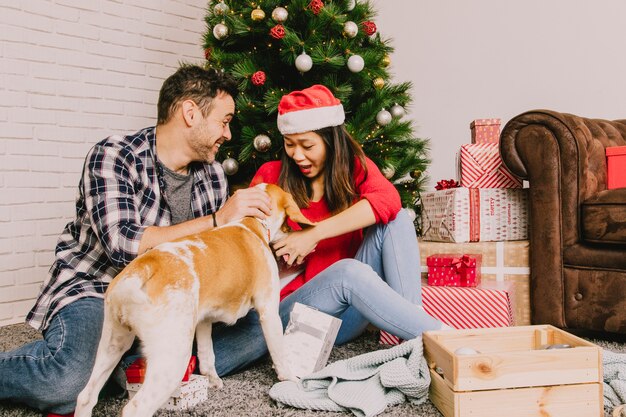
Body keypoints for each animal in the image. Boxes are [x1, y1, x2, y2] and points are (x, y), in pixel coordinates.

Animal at [75, 183, 312, 416]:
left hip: (113, 344)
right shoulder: (269, 312)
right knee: (134, 408)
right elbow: (280, 354)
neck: (250, 222)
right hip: (172, 359)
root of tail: (144, 267)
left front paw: (212, 380)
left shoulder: (203, 320)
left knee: (86, 396)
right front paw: (291, 380)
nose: (291, 231)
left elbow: (207, 356)